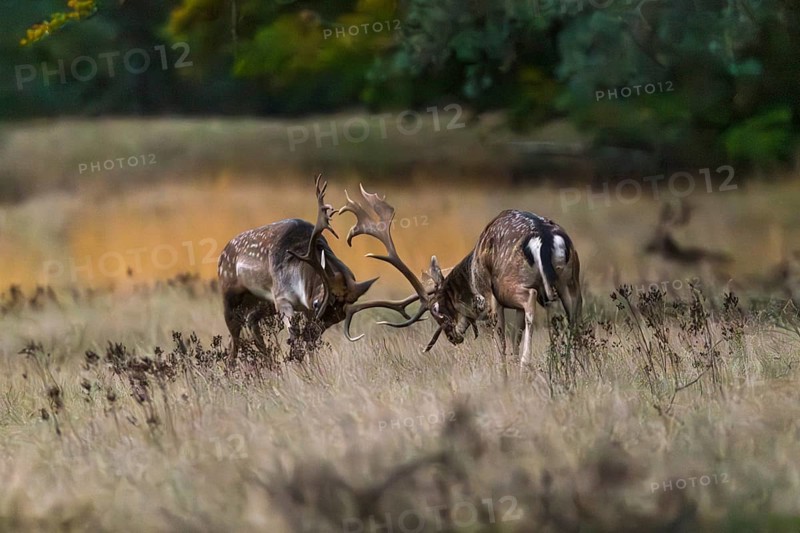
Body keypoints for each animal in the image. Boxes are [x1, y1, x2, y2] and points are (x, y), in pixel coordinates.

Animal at [217, 175, 415, 360]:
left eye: (338, 318)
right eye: (317, 303)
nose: (311, 334)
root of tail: (222, 254)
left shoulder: (296, 307)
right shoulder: (281, 298)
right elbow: (294, 336)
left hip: (260, 302)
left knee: (249, 322)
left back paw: (269, 362)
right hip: (230, 296)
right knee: (234, 339)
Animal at [338, 185, 582, 368]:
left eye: (437, 311)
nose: (453, 337)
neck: (471, 271)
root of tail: (545, 237)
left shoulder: (491, 296)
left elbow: (502, 345)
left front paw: (505, 373)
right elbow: (514, 338)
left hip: (511, 284)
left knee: (530, 299)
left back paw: (527, 364)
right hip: (571, 281)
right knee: (576, 316)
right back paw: (579, 365)